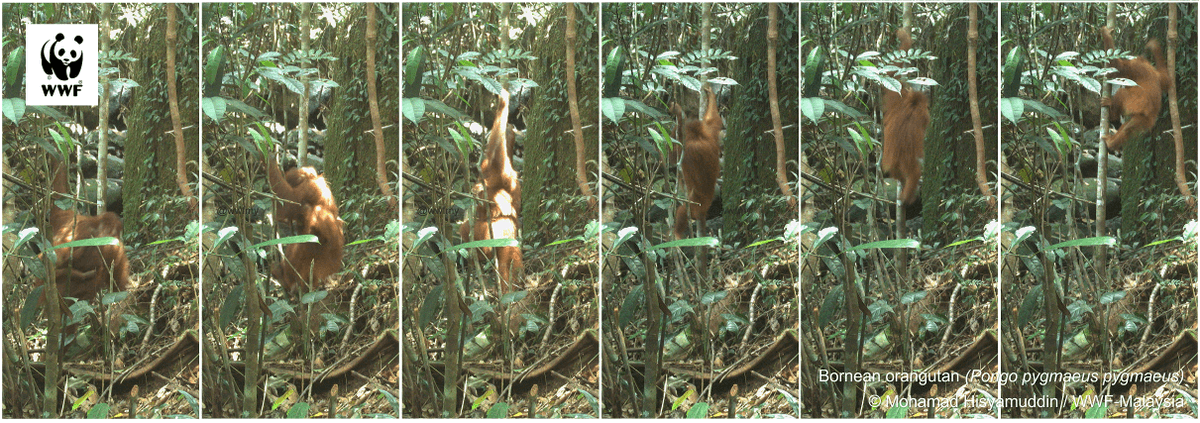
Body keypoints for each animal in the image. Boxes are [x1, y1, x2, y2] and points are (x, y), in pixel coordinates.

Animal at [672, 84, 723, 240]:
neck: (698, 137)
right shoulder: (709, 130)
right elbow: (713, 119)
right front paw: (711, 95)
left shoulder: (688, 149)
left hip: (698, 204)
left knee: (684, 210)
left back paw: (677, 234)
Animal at [881, 28, 929, 206]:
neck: (911, 106)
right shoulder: (923, 115)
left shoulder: (898, 97)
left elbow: (893, 73)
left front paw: (904, 39)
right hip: (906, 159)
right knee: (915, 171)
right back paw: (908, 196)